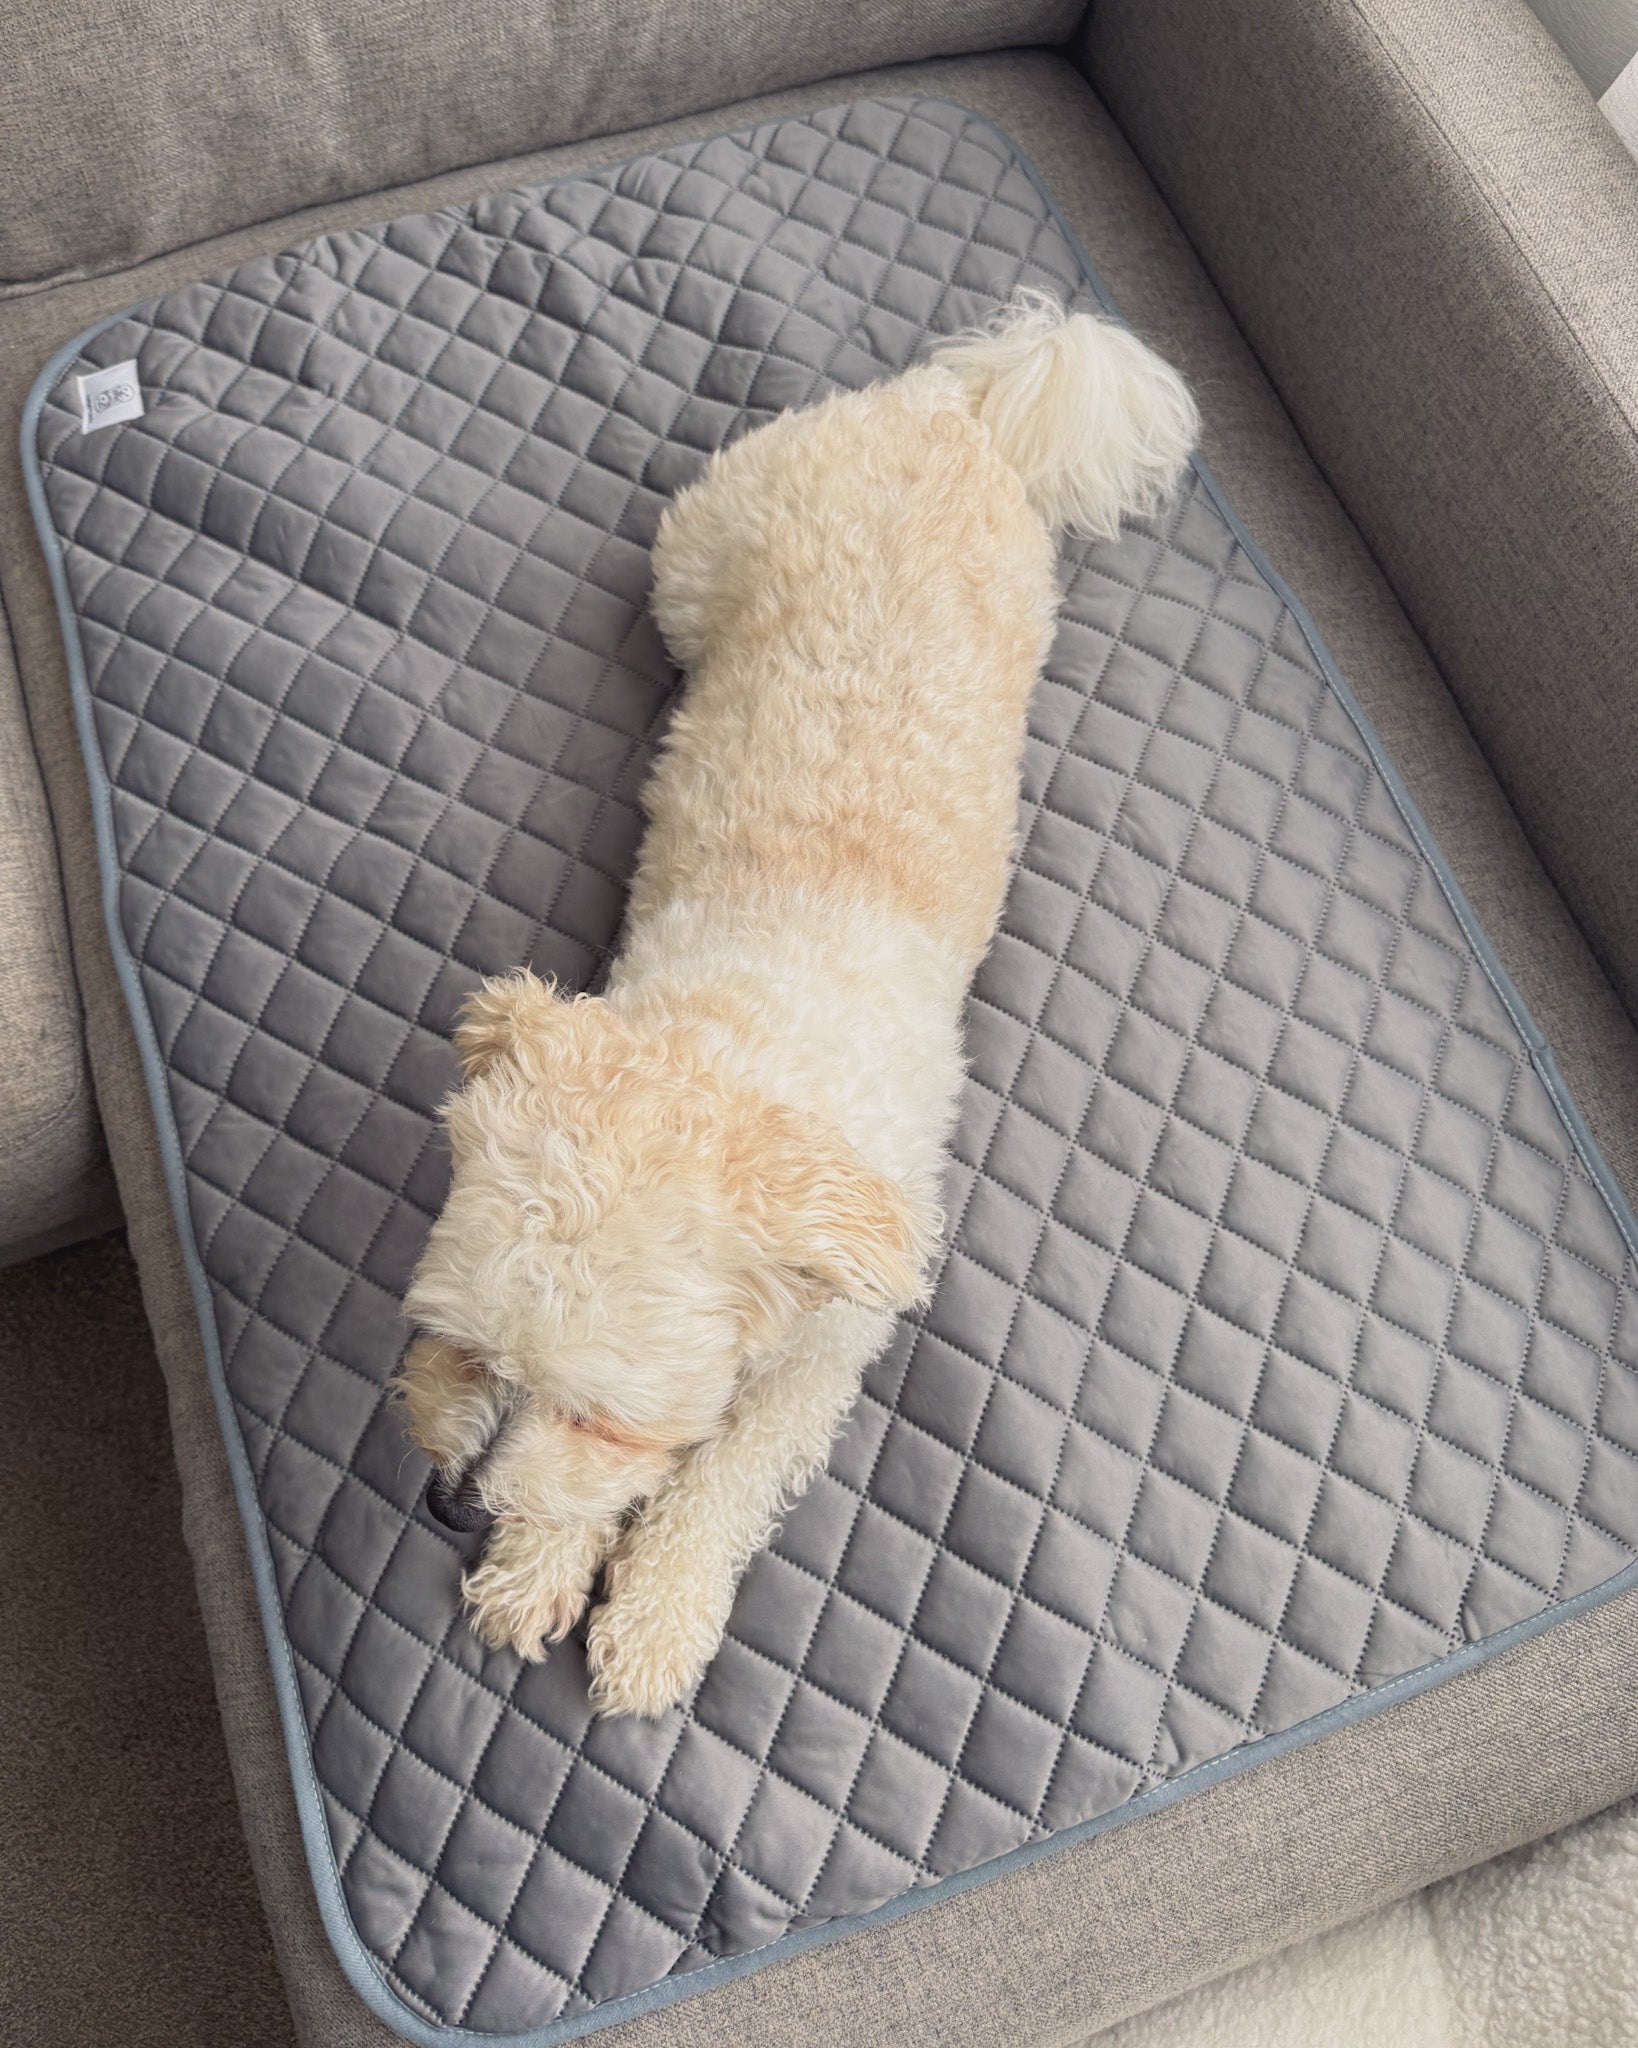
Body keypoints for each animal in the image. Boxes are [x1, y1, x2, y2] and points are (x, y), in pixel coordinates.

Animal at [396, 292, 1197, 1716]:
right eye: (459, 1345)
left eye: (604, 1410)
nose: (451, 1505)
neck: (745, 1036)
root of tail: (951, 401)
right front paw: (538, 1561)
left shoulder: (829, 1345)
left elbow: (722, 1474)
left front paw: (653, 1610)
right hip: (697, 562)